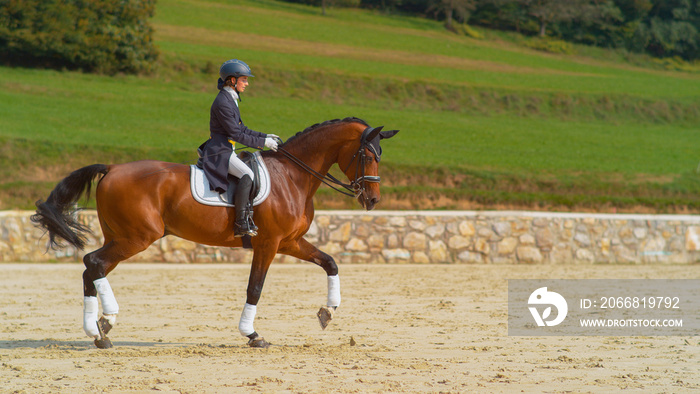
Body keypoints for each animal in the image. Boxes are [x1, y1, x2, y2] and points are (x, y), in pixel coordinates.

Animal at [31, 116, 400, 348]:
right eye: (367, 155)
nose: (372, 199)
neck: (292, 176)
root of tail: (112, 168)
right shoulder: (268, 244)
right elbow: (255, 288)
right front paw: (252, 335)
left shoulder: (290, 242)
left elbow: (330, 262)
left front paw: (327, 312)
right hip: (136, 238)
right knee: (93, 263)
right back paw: (106, 322)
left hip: (121, 237)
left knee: (91, 268)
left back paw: (99, 330)